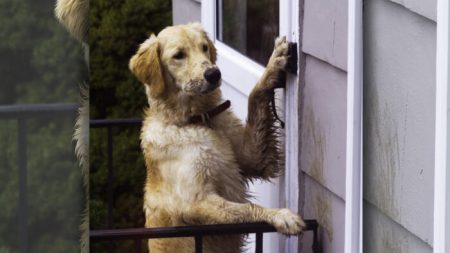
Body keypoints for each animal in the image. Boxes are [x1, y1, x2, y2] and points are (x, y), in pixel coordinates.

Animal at [130, 22, 306, 252]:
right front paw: (280, 216)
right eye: (179, 55)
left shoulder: (251, 157)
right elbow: (247, 208)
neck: (195, 120)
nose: (213, 73)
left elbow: (254, 97)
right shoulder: (196, 202)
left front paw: (274, 65)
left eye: (204, 47)